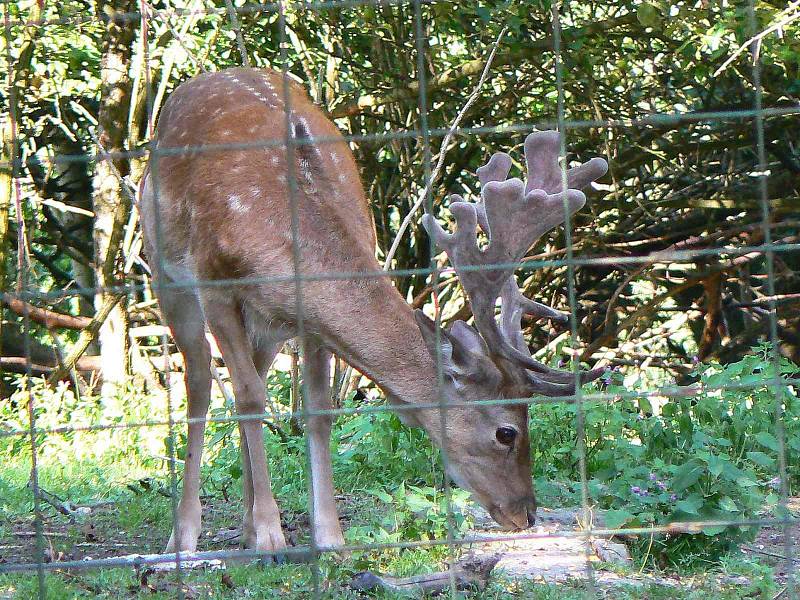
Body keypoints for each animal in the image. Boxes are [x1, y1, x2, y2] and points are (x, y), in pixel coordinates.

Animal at [141, 68, 608, 556]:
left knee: (252, 371)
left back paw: (246, 523)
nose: (526, 513)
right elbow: (248, 400)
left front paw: (328, 536)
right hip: (165, 271)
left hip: (264, 326)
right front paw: (271, 536)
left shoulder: (307, 322)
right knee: (199, 381)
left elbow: (319, 410)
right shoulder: (214, 285)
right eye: (506, 432)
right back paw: (185, 534)